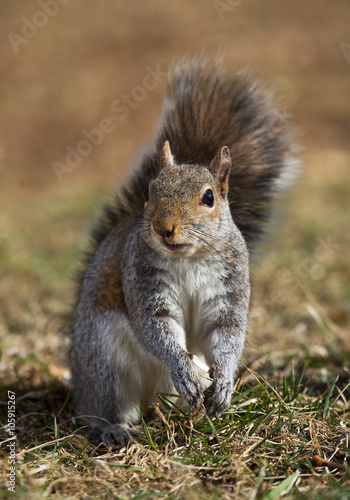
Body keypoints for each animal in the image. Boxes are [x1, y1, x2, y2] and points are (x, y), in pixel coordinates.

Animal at [70, 55, 298, 446]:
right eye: (149, 191)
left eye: (208, 198)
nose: (164, 228)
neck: (188, 257)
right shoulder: (144, 283)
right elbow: (156, 330)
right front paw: (183, 369)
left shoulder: (229, 289)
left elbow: (227, 332)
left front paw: (224, 383)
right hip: (103, 360)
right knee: (101, 405)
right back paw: (113, 427)